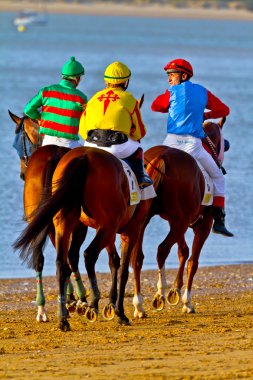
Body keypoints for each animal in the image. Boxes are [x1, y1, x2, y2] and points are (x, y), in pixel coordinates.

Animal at [130, 116, 229, 318]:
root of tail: (161, 156)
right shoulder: (202, 226)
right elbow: (193, 261)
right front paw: (186, 301)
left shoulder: (177, 223)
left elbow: (183, 251)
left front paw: (175, 289)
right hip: (180, 222)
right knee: (162, 250)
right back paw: (160, 293)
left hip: (147, 220)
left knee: (137, 257)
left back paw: (139, 305)